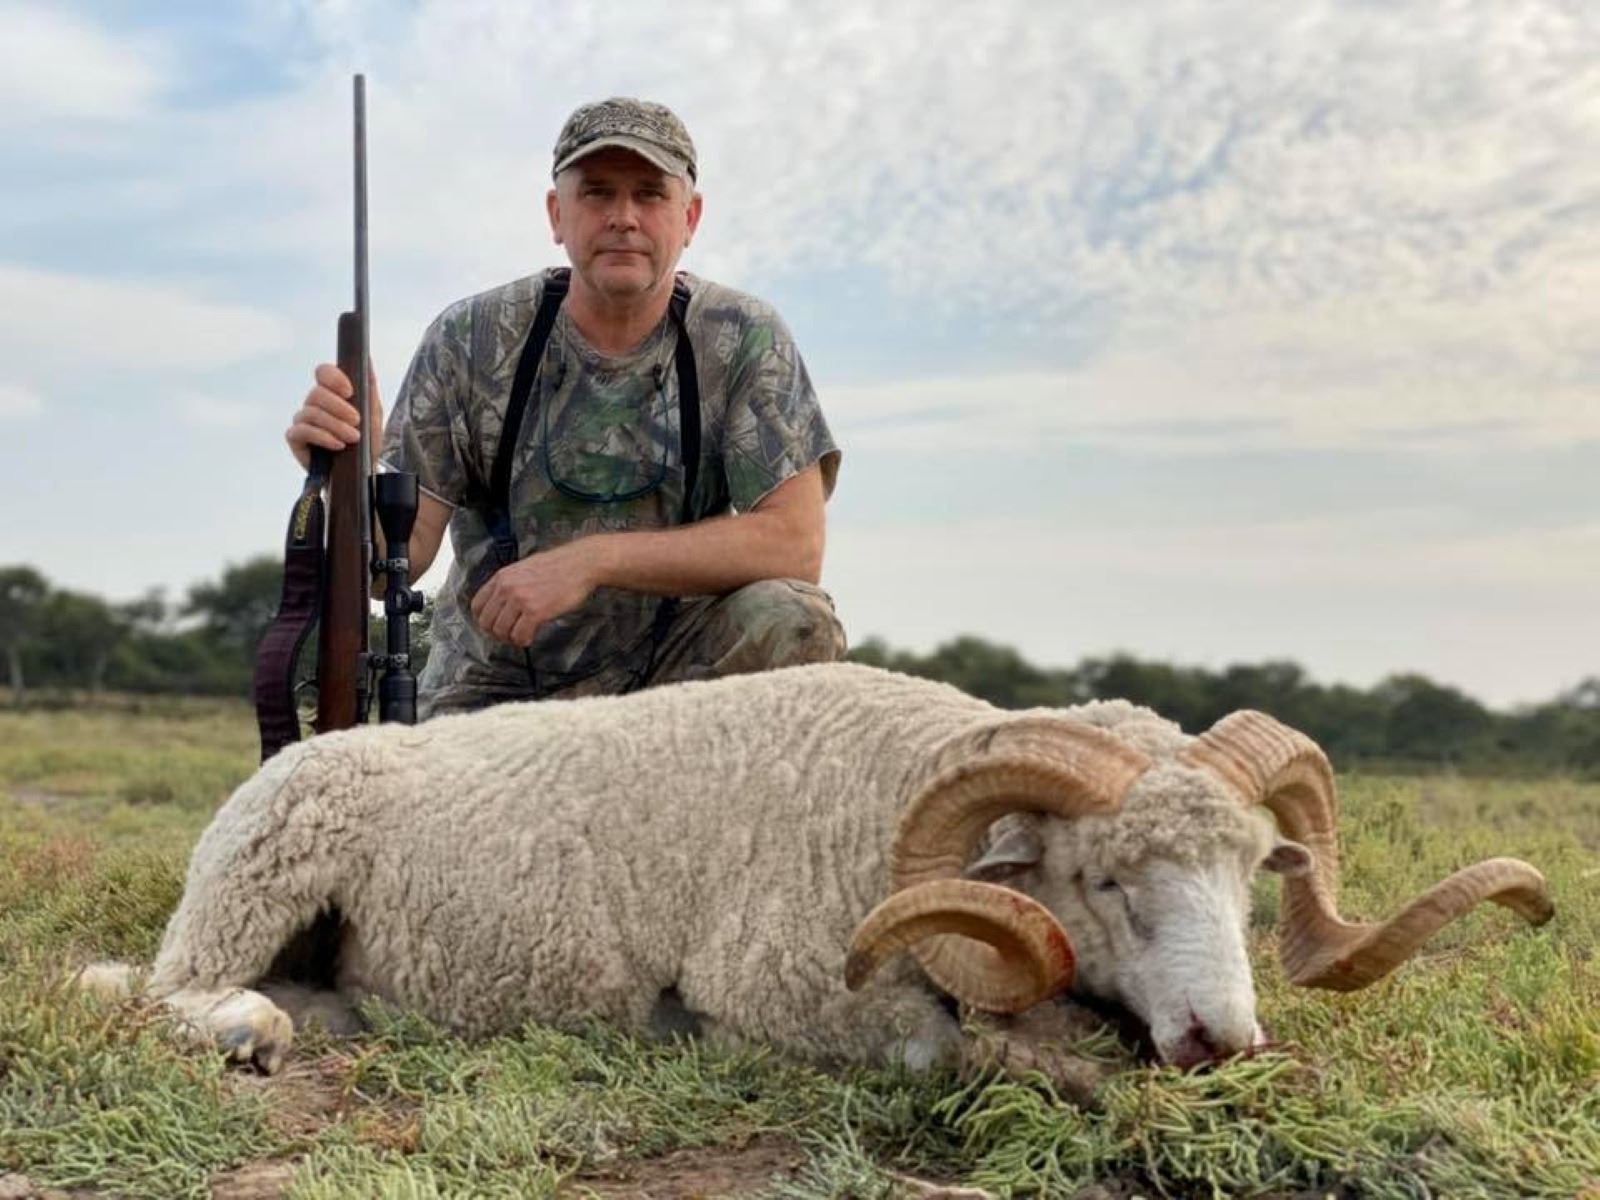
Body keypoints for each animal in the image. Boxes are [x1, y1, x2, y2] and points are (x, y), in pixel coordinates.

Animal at [82, 662, 1552, 1090]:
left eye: (1252, 875)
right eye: (1103, 881)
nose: (1217, 1041)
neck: (875, 800)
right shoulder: (779, 990)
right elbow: (946, 1048)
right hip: (255, 877)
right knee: (137, 989)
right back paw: (251, 1028)